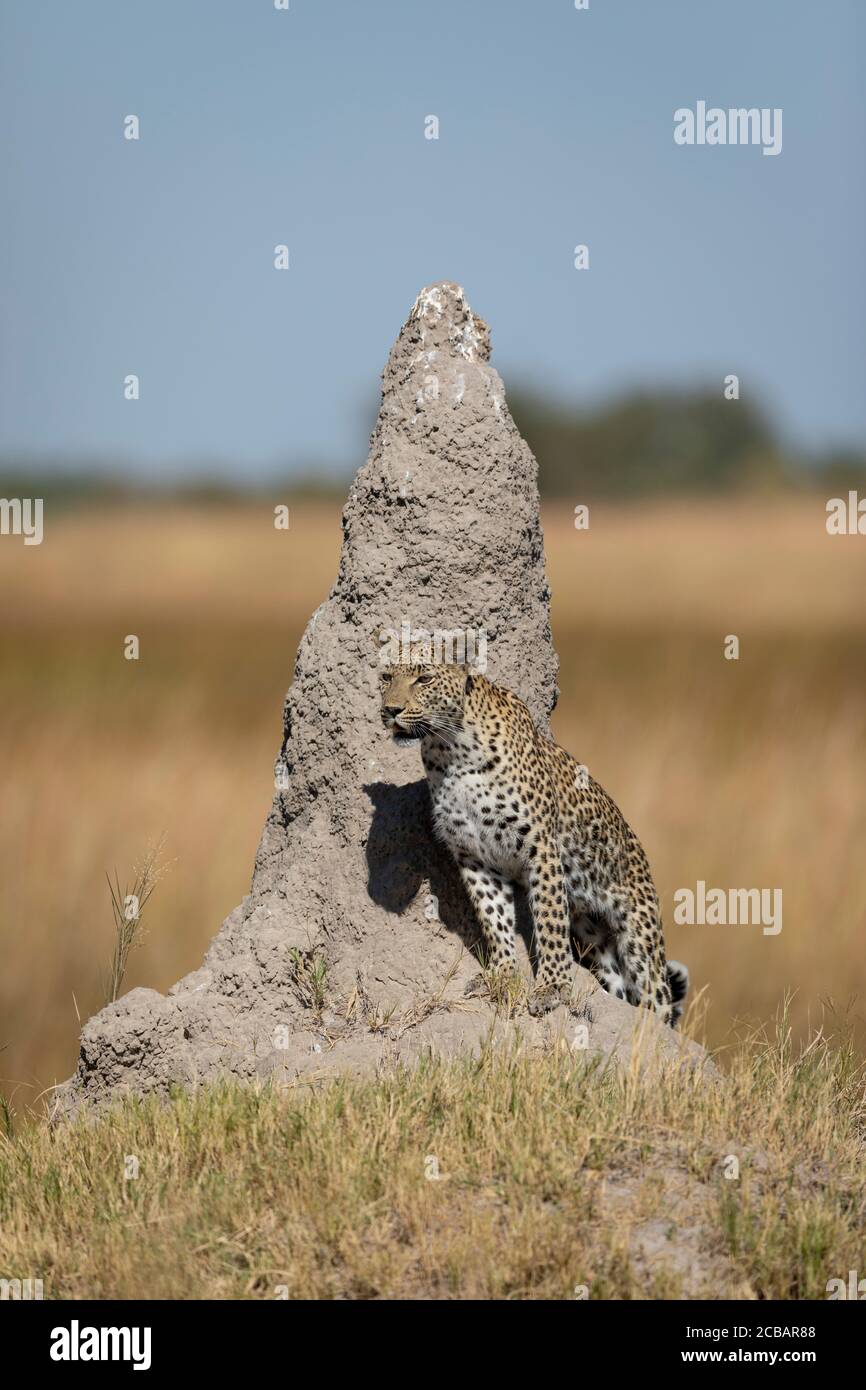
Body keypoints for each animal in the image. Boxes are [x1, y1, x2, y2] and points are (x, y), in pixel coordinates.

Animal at [378, 656, 692, 1028]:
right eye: (386, 677)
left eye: (424, 679)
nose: (390, 709)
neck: (451, 750)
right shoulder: (474, 855)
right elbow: (494, 917)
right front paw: (501, 972)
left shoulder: (541, 848)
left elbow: (549, 918)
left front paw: (551, 987)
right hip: (595, 940)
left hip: (640, 938)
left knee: (656, 1000)